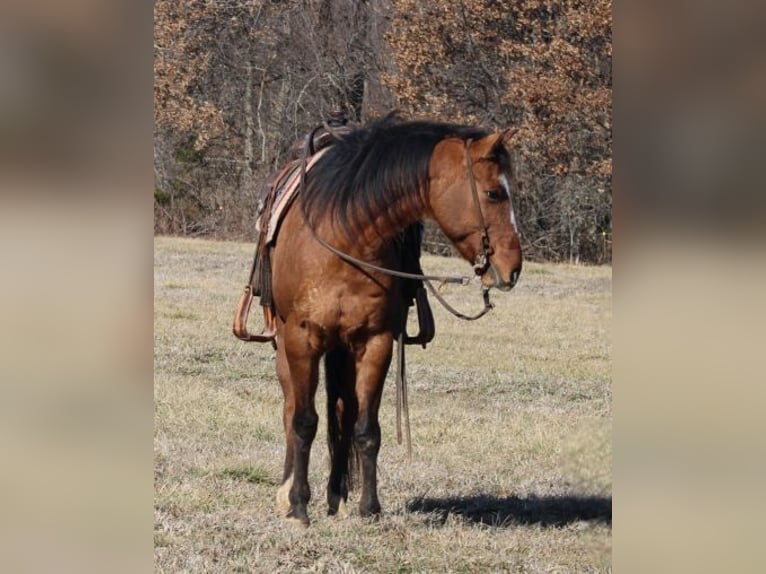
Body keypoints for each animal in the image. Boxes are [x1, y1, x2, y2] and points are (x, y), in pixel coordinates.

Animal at [267, 114, 522, 525]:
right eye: (494, 193)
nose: (513, 267)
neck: (346, 236)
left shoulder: (376, 341)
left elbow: (367, 428)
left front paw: (369, 507)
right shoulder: (302, 339)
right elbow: (304, 421)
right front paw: (299, 505)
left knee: (344, 411)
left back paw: (337, 495)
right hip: (286, 348)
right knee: (291, 408)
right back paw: (286, 491)